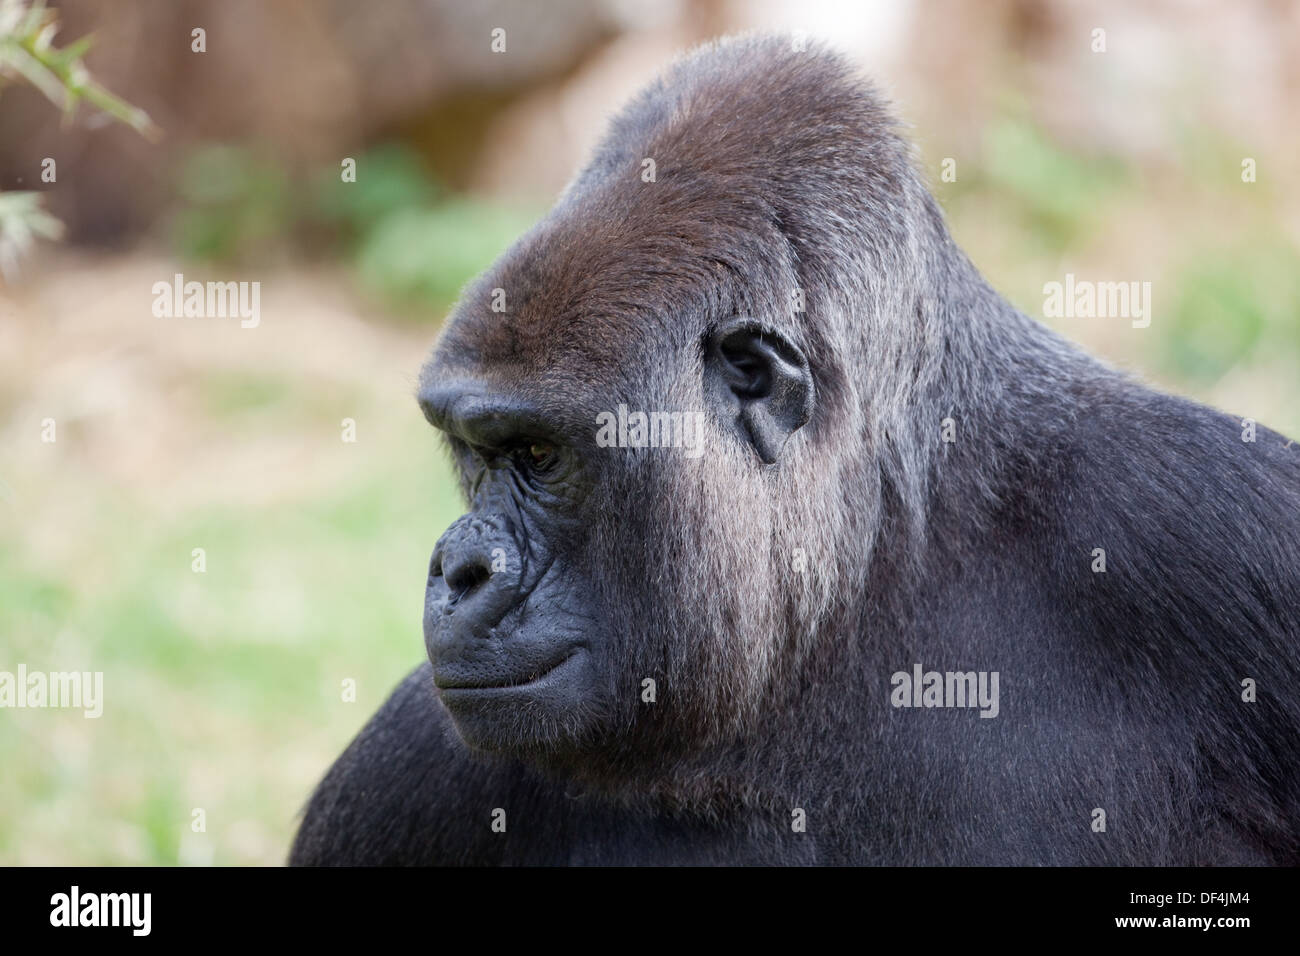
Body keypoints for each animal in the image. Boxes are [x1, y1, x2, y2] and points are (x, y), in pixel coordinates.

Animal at [292, 35, 1300, 868]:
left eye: (538, 455)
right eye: (475, 452)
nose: (456, 569)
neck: (869, 561)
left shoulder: (1219, 522)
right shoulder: (403, 765)